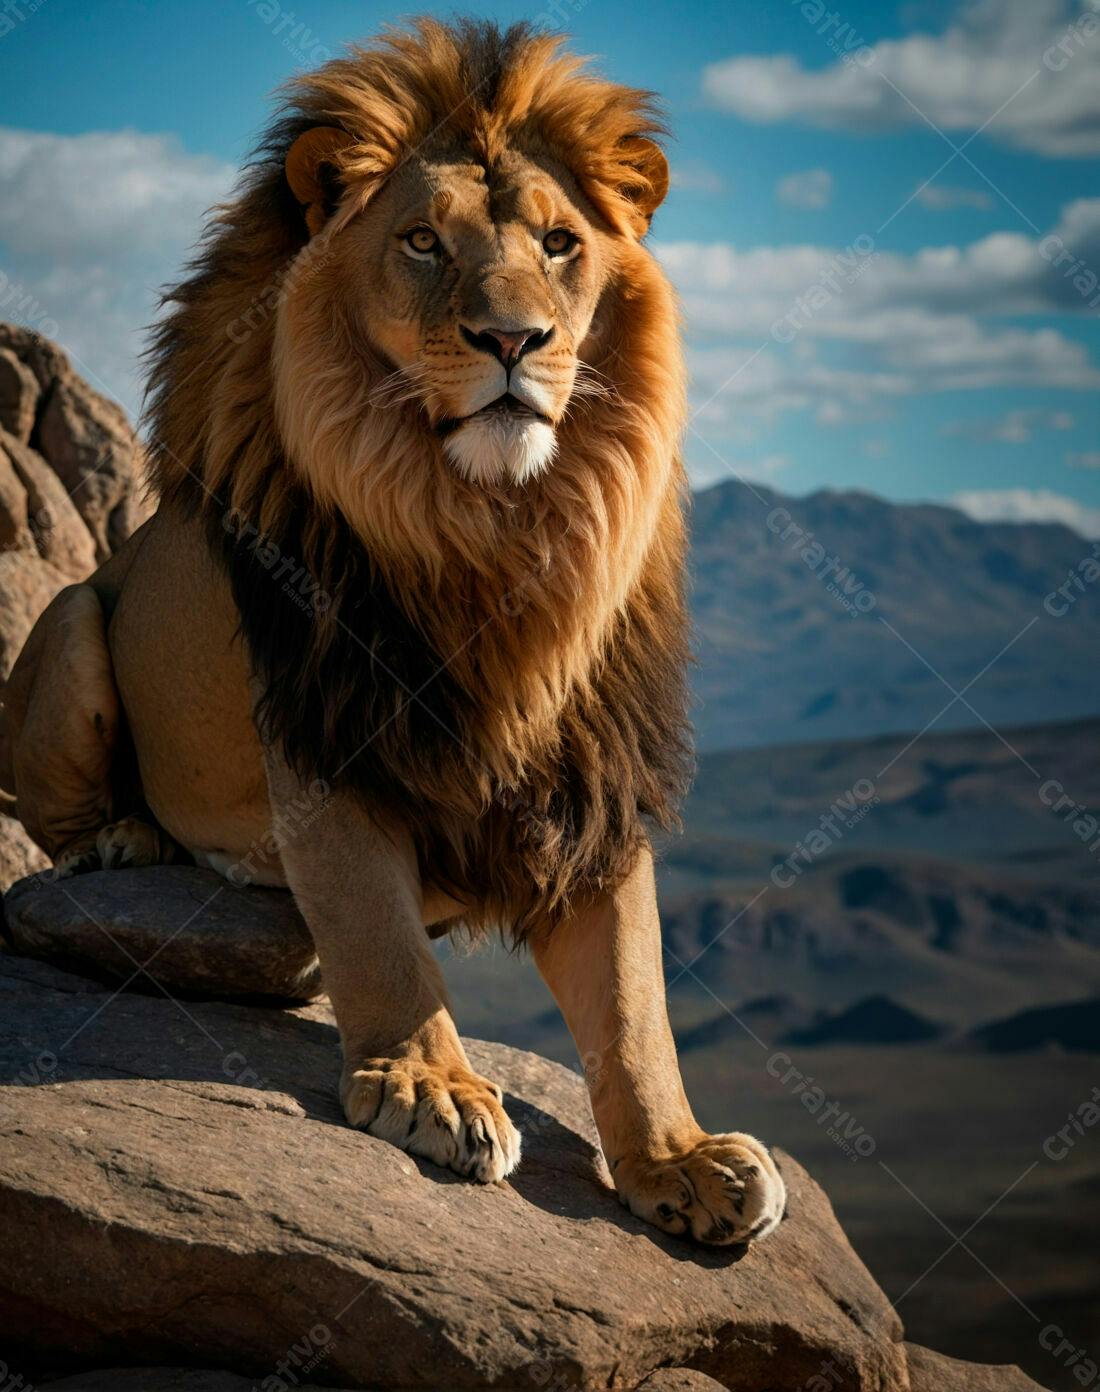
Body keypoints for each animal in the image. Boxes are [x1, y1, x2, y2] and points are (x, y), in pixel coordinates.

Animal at [0, 19, 785, 1246]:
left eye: (560, 244)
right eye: (422, 241)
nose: (513, 338)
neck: (494, 530)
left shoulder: (592, 780)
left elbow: (634, 1001)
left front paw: (682, 1159)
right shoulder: (329, 734)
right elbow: (379, 939)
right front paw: (432, 1090)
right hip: (77, 615)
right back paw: (124, 840)